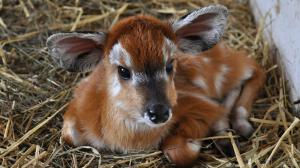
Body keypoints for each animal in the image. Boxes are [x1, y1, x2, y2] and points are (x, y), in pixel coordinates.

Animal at [47, 4, 264, 166]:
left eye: (169, 65)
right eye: (123, 70)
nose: (159, 112)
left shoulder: (199, 102)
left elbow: (178, 152)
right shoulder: (74, 117)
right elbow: (68, 134)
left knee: (254, 67)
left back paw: (239, 127)